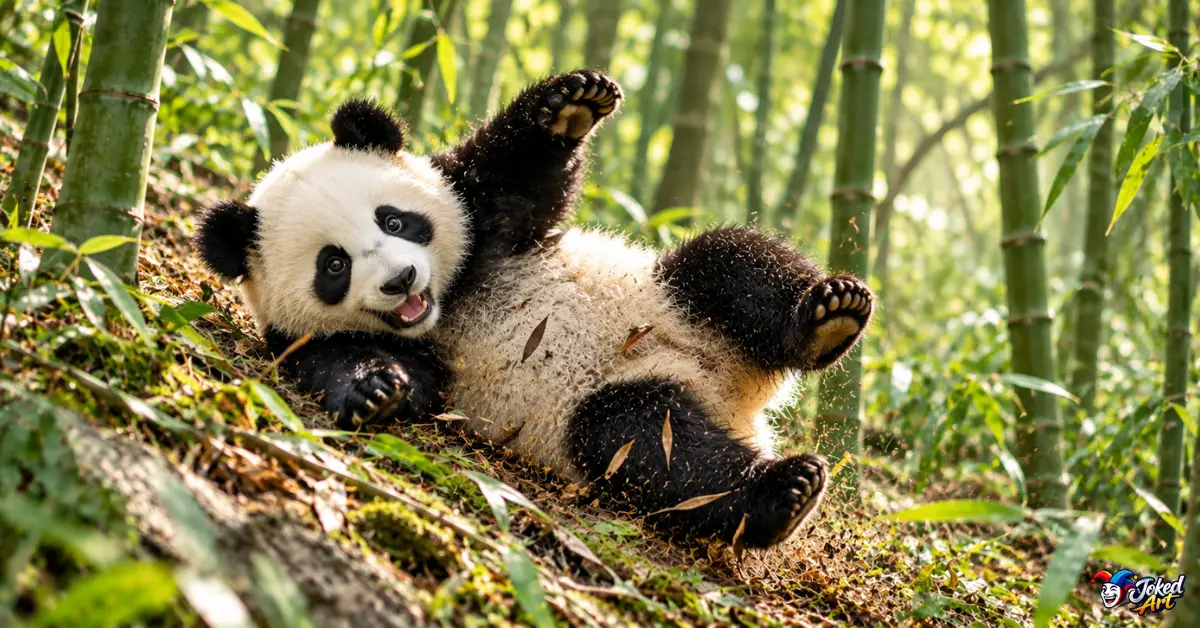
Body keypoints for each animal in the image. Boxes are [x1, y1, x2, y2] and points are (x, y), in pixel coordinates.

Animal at [195, 70, 874, 550]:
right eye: (333, 266)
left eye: (394, 220)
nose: (401, 279)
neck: (448, 304)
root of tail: (739, 401)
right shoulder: (308, 340)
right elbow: (355, 367)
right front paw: (375, 389)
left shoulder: (484, 222)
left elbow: (515, 178)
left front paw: (571, 103)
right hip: (618, 408)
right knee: (653, 449)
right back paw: (781, 490)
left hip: (674, 299)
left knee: (725, 265)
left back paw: (828, 317)